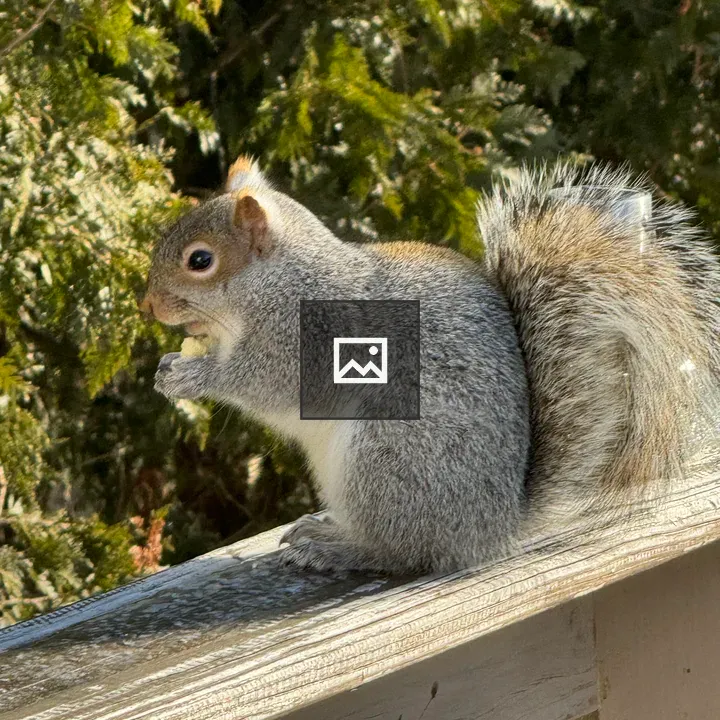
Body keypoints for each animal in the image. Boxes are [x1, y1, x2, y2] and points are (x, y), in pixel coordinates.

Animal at [140, 157, 720, 574]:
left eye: (199, 260)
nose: (149, 306)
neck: (278, 283)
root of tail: (492, 526)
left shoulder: (308, 339)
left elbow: (262, 383)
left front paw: (189, 376)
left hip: (386, 461)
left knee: (403, 552)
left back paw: (337, 547)